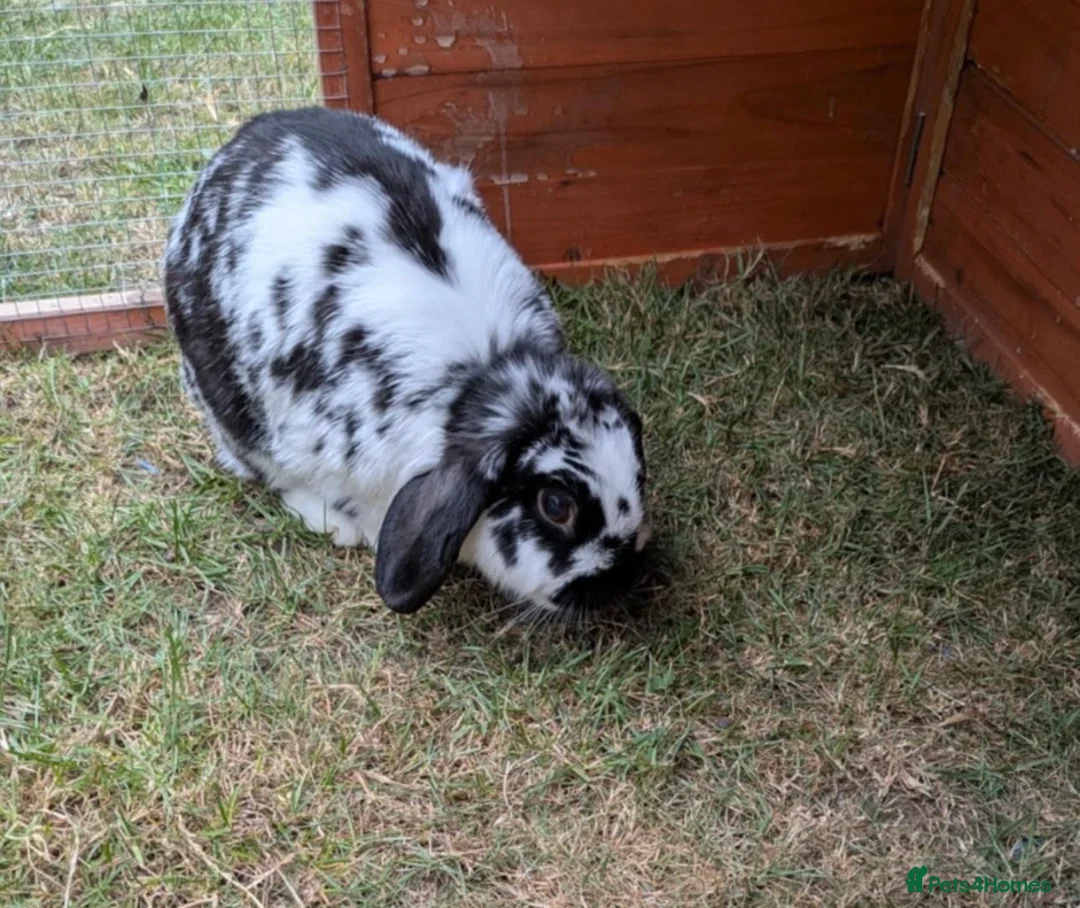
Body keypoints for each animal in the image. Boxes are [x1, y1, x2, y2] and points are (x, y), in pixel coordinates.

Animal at [163, 106, 650, 615]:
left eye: (639, 470)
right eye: (555, 506)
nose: (620, 579)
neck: (476, 382)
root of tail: (230, 151)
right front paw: (345, 524)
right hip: (229, 409)